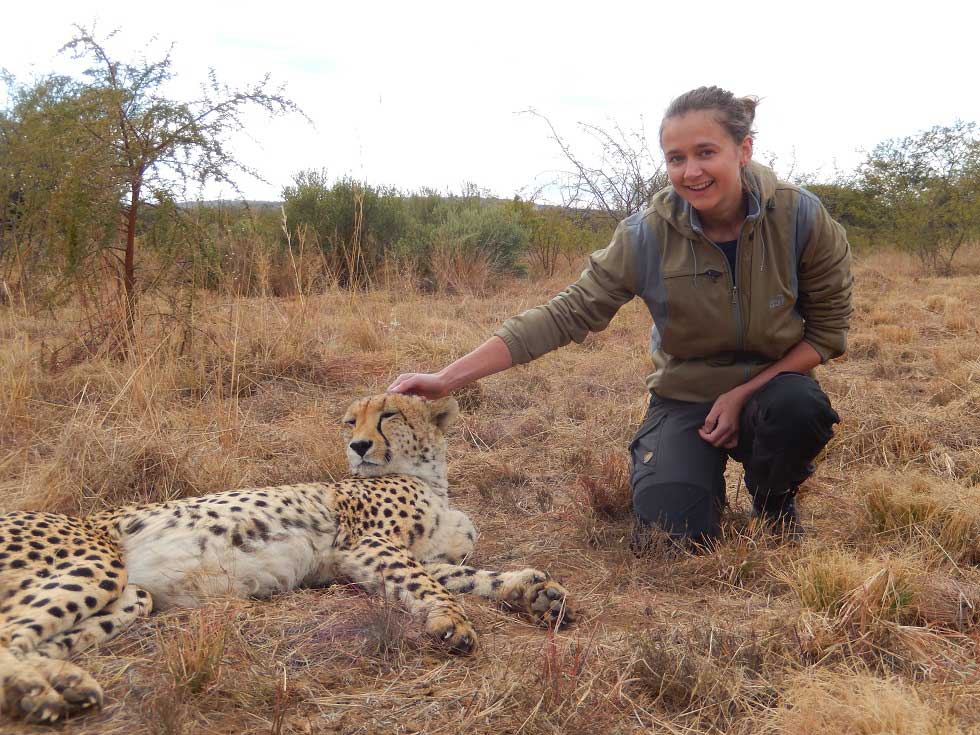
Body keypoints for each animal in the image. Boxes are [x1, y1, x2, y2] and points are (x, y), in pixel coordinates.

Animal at [0, 393, 572, 723]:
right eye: (350, 421)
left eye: (388, 415)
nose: (359, 446)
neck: (427, 475)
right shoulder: (364, 546)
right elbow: (428, 585)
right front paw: (451, 622)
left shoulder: (413, 556)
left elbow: (472, 575)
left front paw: (535, 591)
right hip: (96, 561)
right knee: (9, 633)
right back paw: (37, 689)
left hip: (130, 595)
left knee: (35, 635)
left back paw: (61, 684)